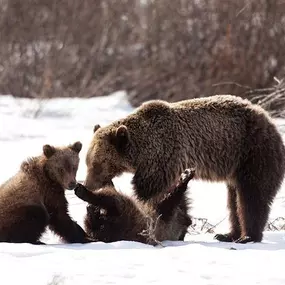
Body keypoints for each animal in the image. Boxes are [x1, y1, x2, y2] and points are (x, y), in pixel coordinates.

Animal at [84, 94, 284, 243]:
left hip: (252, 153)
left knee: (252, 196)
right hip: (236, 167)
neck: (141, 152)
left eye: (98, 164)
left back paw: (248, 236)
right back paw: (228, 234)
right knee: (233, 199)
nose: (88, 184)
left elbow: (149, 193)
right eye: (87, 162)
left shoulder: (163, 158)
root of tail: (271, 122)